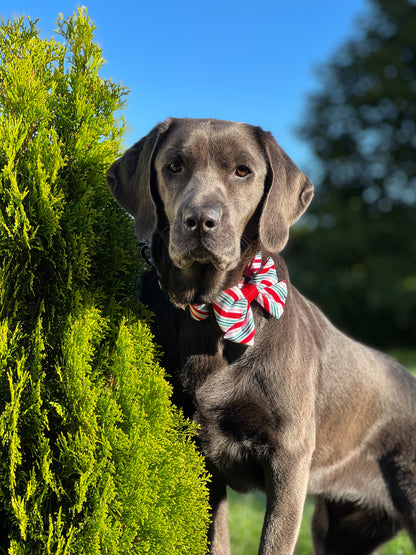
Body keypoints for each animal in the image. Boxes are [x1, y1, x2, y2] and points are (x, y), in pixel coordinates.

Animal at [106, 118, 416, 555]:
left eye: (242, 171)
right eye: (173, 166)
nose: (200, 220)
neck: (213, 310)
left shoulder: (289, 457)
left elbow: (273, 542)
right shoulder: (201, 461)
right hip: (341, 532)